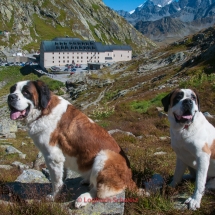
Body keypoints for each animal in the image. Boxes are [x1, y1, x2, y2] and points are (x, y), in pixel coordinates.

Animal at [8, 80, 137, 207]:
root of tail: (130, 177)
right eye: (12, 90)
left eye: (26, 92)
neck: (44, 111)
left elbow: (56, 181)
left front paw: (53, 197)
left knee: (99, 191)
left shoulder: (52, 157)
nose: (10, 97)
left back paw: (83, 198)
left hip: (105, 156)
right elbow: (61, 176)